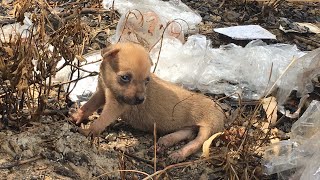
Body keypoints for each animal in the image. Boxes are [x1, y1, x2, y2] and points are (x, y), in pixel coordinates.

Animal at [70, 43, 225, 162]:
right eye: (125, 77)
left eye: (147, 80)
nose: (140, 100)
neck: (110, 87)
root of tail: (221, 111)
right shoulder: (101, 94)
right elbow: (88, 106)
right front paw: (75, 116)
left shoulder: (116, 106)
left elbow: (100, 121)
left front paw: (88, 131)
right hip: (190, 126)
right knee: (186, 133)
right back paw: (166, 141)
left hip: (208, 128)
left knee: (197, 142)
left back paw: (179, 153)